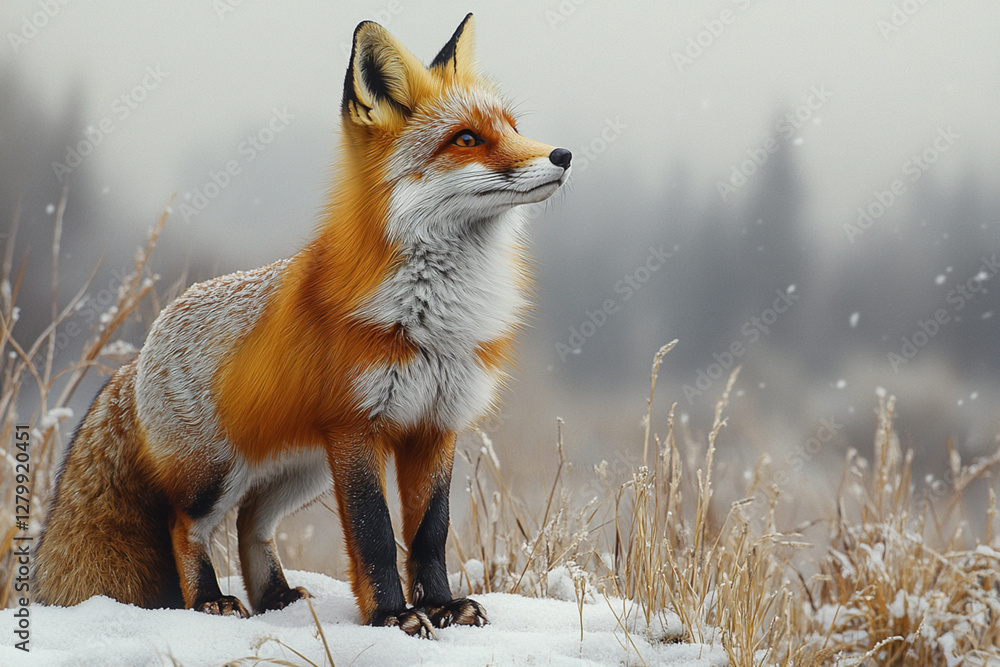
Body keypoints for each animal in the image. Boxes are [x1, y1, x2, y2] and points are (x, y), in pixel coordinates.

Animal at [33, 14, 571, 637]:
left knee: (250, 524)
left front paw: (442, 606)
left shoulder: (435, 426)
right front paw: (393, 616)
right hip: (217, 476)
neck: (434, 318)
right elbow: (375, 535)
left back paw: (276, 596)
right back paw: (211, 601)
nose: (563, 154)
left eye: (512, 127)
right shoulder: (357, 428)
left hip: (300, 472)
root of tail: (140, 352)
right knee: (185, 526)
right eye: (466, 139)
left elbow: (429, 534)